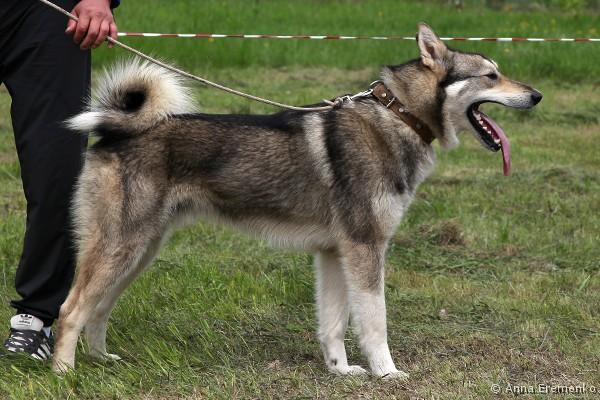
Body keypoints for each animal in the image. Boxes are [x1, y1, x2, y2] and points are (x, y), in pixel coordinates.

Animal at [53, 24, 541, 377]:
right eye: (491, 75)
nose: (536, 95)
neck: (399, 116)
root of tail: (114, 132)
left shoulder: (333, 254)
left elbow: (333, 325)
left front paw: (341, 371)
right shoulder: (366, 248)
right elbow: (375, 322)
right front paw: (387, 373)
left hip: (140, 252)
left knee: (98, 309)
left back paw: (99, 360)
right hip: (122, 247)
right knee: (71, 309)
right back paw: (64, 373)